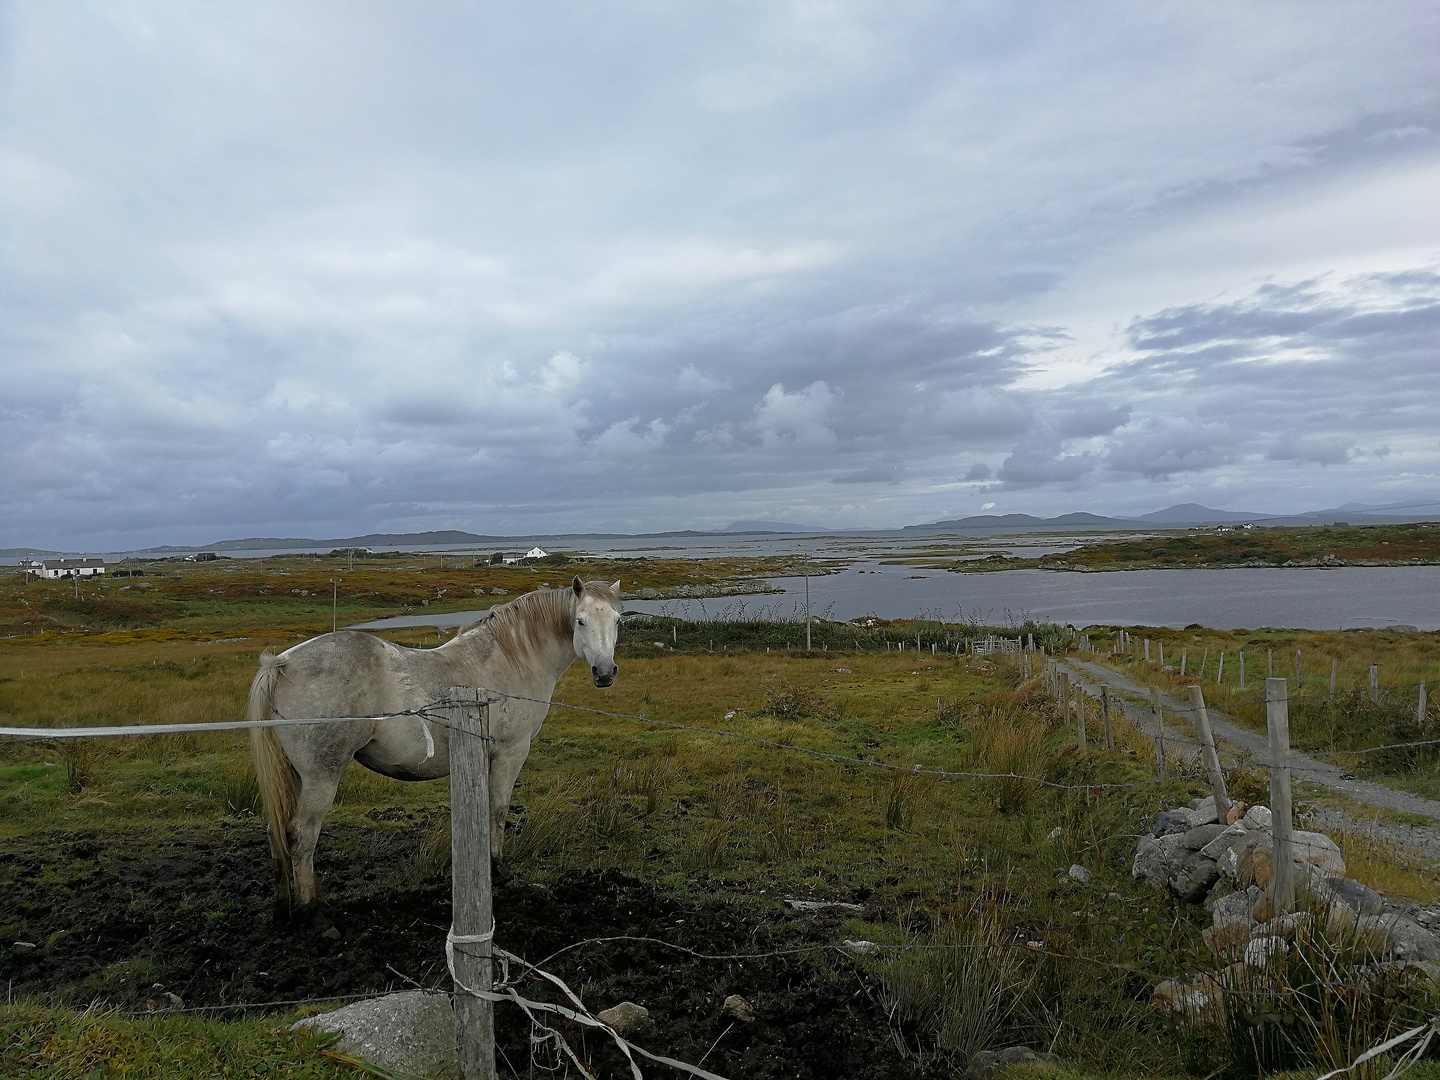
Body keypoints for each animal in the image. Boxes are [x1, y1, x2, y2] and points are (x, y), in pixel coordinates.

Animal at [250, 576, 622, 915]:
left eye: (618, 620)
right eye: (580, 620)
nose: (605, 673)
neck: (511, 658)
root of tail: (281, 664)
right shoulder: (510, 752)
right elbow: (498, 809)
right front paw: (499, 869)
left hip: (296, 776)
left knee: (278, 834)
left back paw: (284, 905)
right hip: (321, 776)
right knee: (301, 836)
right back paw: (310, 910)